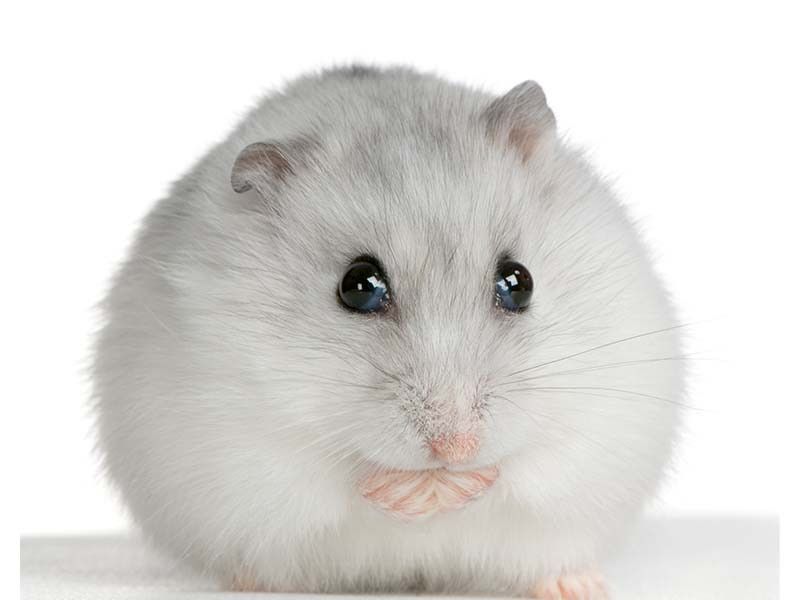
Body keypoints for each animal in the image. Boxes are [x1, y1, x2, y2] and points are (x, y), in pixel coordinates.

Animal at [93, 66, 684, 599]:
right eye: (358, 287)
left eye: (519, 282)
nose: (455, 447)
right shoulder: (241, 430)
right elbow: (342, 474)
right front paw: (418, 492)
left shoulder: (597, 423)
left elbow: (520, 468)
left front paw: (454, 486)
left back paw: (573, 585)